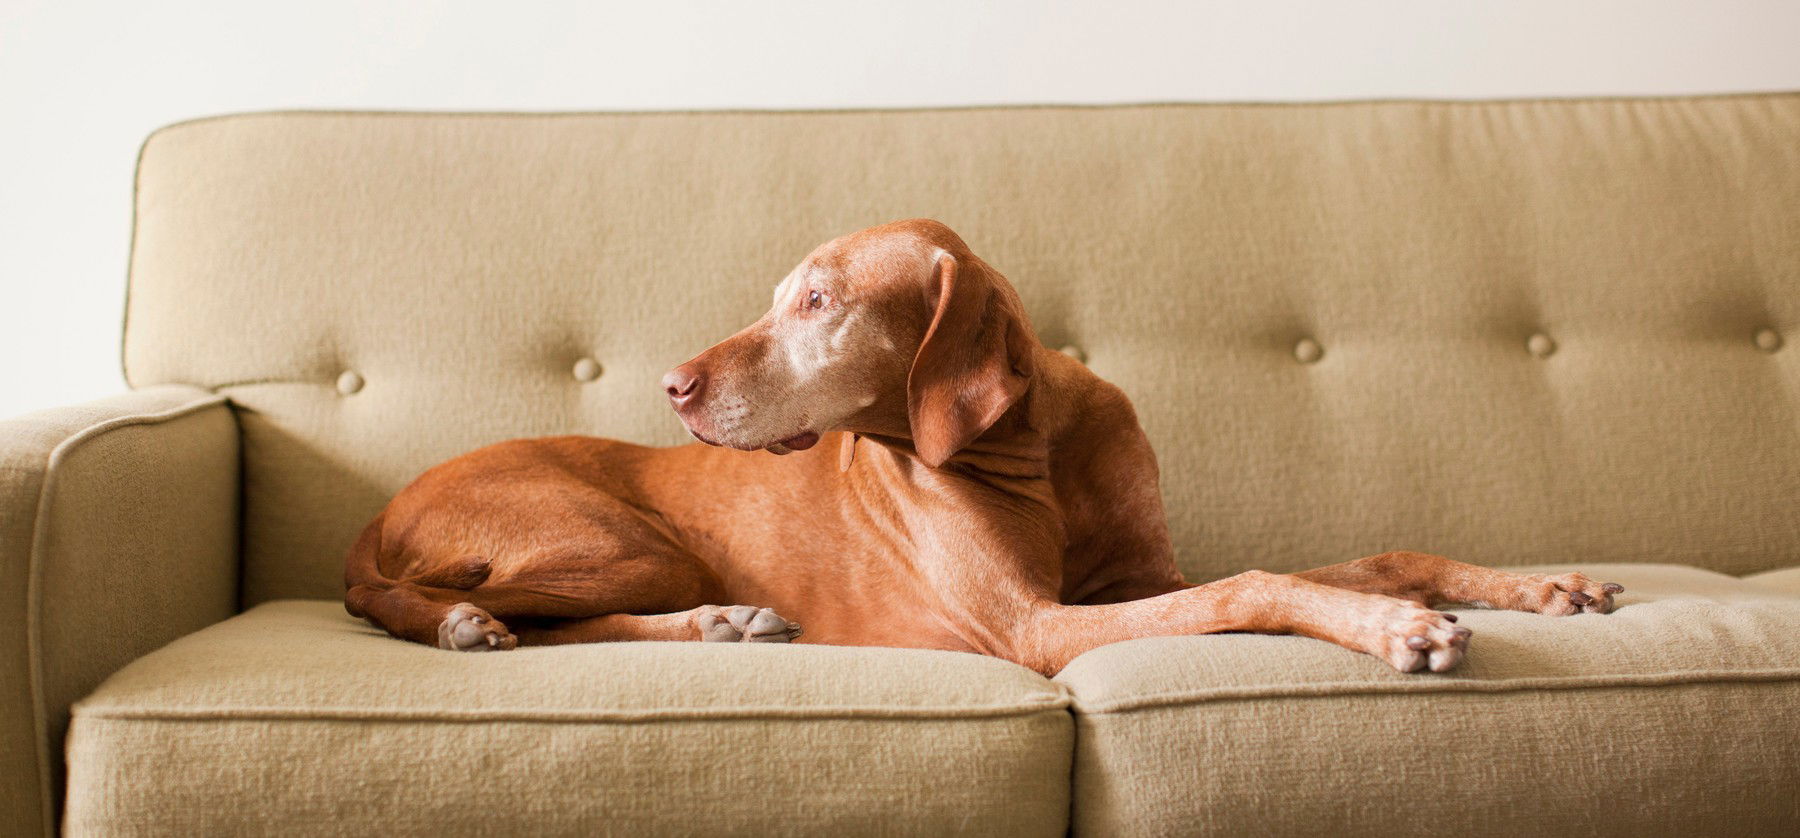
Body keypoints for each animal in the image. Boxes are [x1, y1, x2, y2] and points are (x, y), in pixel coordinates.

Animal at [343, 217, 1627, 672]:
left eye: (817, 300)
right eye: (782, 295)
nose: (673, 386)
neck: (1038, 449)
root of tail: (377, 513)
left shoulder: (1136, 583)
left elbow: (1385, 552)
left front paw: (1545, 585)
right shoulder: (1040, 625)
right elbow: (1259, 584)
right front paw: (1397, 629)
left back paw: (723, 623)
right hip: (621, 539)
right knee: (434, 602)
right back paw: (464, 624)